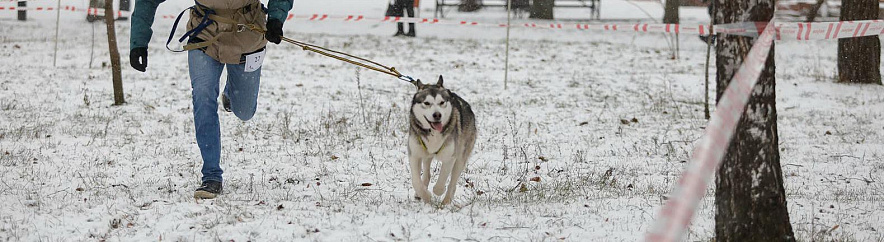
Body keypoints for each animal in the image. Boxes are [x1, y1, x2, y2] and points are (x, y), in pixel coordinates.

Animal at [408, 75, 476, 204]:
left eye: (442, 102)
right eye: (427, 103)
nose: (437, 115)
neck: (433, 133)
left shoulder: (450, 157)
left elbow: (441, 181)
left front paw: (438, 191)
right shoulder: (415, 154)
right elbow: (415, 181)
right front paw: (425, 195)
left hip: (461, 158)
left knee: (453, 183)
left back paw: (446, 201)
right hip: (426, 155)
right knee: (427, 174)